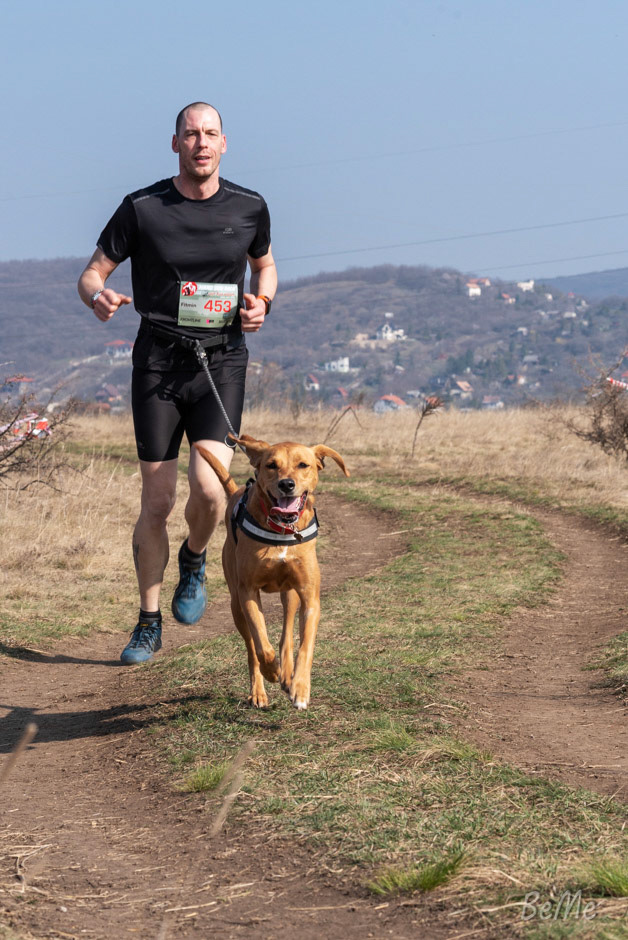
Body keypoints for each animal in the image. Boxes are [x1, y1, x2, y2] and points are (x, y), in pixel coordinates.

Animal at [194, 435, 349, 710]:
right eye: (271, 465)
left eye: (303, 465)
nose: (286, 484)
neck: (282, 530)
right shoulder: (248, 592)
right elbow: (261, 644)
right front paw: (272, 671)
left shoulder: (309, 596)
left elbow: (305, 645)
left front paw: (300, 688)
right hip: (235, 603)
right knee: (251, 647)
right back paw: (261, 689)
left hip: (290, 593)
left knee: (286, 634)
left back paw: (287, 674)